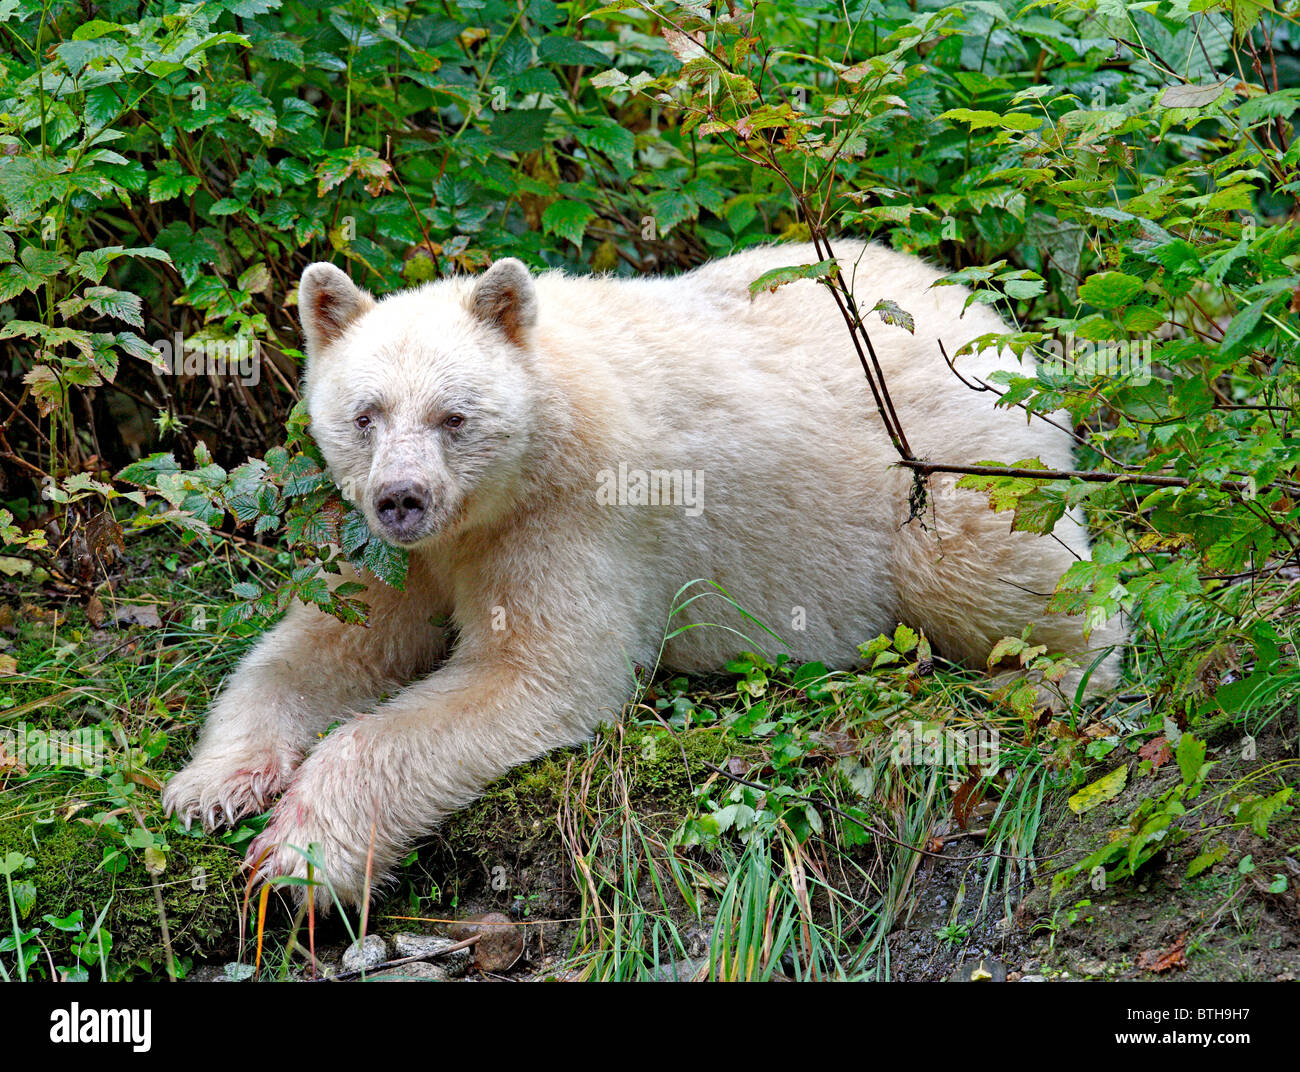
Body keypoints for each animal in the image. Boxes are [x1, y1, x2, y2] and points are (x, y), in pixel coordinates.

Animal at [159, 240, 1118, 904]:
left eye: (453, 416)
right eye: (365, 414)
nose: (401, 497)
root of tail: (977, 307)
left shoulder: (574, 515)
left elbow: (532, 671)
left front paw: (299, 856)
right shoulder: (412, 553)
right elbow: (327, 645)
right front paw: (211, 786)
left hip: (940, 455)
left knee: (987, 562)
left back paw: (1058, 672)